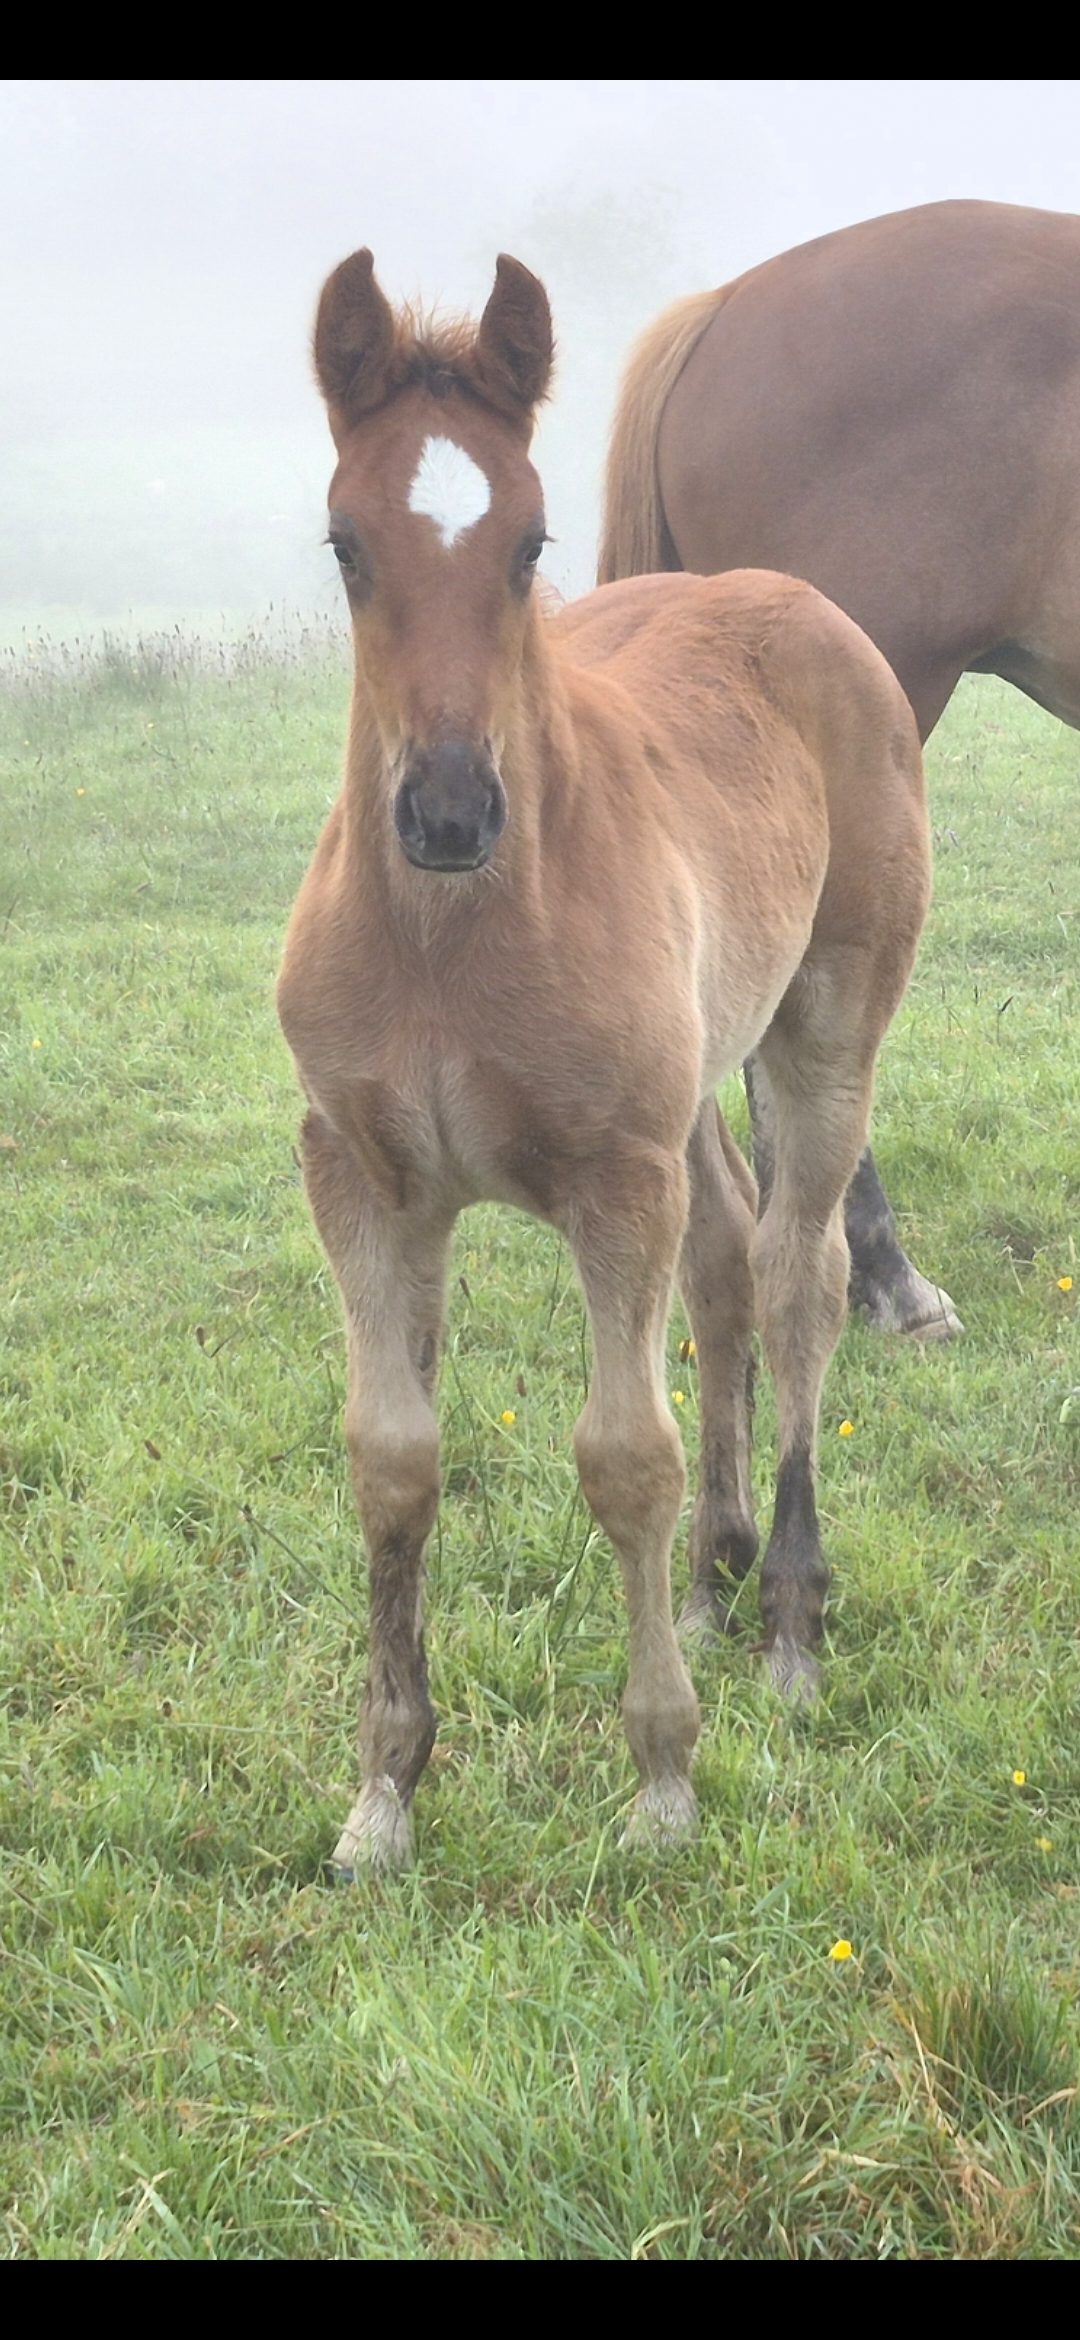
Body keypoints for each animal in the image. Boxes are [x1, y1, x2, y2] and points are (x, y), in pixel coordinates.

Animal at [276, 246, 930, 1873]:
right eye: (345, 545)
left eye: (530, 543)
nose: (450, 812)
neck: (447, 941)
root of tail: (792, 598)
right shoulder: (360, 1175)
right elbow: (392, 1456)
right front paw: (384, 1793)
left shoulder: (612, 1177)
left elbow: (624, 1454)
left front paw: (662, 1782)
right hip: (690, 1083)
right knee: (724, 1267)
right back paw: (711, 1579)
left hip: (825, 1029)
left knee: (798, 1275)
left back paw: (789, 1623)